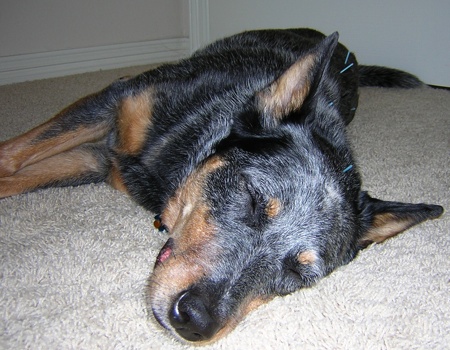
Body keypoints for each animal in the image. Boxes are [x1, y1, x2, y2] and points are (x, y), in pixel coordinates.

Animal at [0, 28, 442, 344]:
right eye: (251, 196)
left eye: (300, 275)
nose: (195, 321)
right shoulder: (113, 102)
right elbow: (11, 156)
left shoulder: (94, 161)